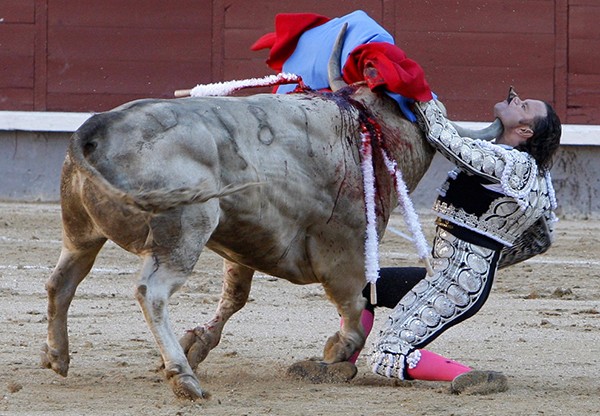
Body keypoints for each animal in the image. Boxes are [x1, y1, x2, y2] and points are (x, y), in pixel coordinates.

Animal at [42, 29, 500, 400]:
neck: (364, 125)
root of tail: (96, 129)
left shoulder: (242, 244)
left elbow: (235, 296)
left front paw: (200, 341)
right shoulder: (346, 253)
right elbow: (355, 309)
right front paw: (338, 352)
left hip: (80, 230)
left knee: (62, 280)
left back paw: (57, 355)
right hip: (185, 232)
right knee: (150, 292)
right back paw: (183, 378)